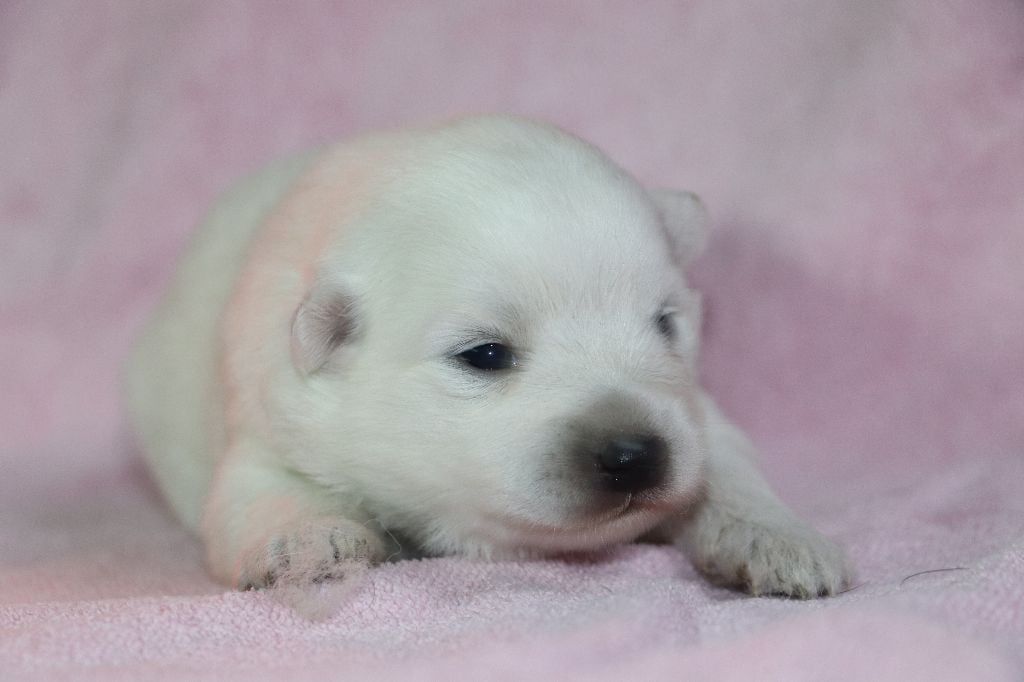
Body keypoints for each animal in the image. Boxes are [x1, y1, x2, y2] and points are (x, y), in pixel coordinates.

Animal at [125, 115, 848, 597]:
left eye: (665, 324)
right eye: (485, 354)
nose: (635, 456)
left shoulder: (696, 417)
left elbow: (725, 466)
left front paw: (781, 542)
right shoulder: (270, 419)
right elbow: (262, 493)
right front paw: (312, 542)